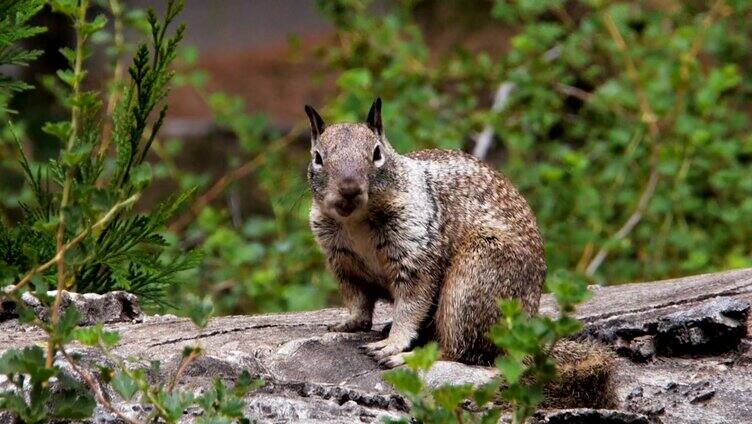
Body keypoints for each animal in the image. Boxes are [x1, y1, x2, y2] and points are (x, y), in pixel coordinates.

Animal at [306, 98, 548, 368]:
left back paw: (406, 357)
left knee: (459, 351)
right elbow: (357, 302)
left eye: (377, 153)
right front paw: (347, 323)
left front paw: (392, 344)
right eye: (318, 157)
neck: (357, 221)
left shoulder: (415, 255)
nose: (349, 188)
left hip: (469, 285)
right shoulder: (342, 262)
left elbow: (411, 306)